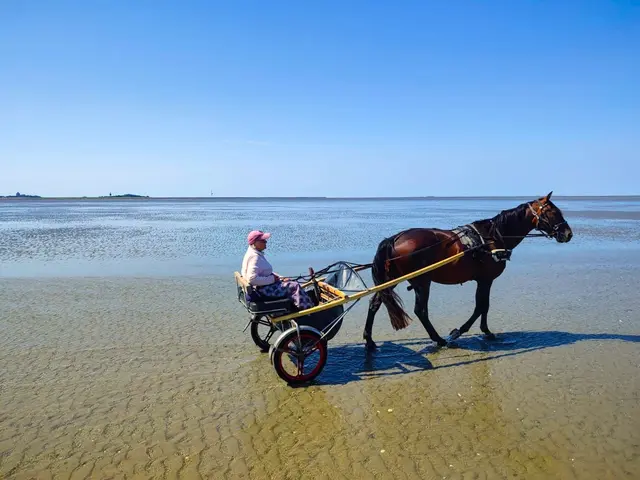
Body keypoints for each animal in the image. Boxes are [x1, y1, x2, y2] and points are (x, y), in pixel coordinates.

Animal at [363, 192, 573, 350]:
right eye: (554, 212)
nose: (568, 233)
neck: (492, 238)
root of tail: (394, 238)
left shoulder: (483, 280)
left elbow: (483, 306)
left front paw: (483, 331)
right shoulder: (486, 279)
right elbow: (481, 306)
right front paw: (463, 331)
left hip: (393, 279)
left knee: (375, 303)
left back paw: (369, 340)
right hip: (422, 281)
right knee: (421, 311)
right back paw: (439, 339)